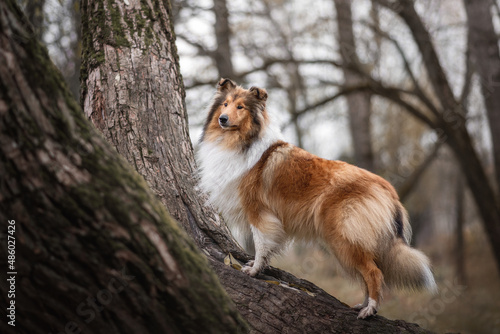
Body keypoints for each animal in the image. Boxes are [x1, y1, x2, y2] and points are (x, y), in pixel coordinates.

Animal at [197, 77, 436, 318]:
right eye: (225, 104)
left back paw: (370, 309)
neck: (240, 141)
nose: (222, 119)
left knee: (373, 272)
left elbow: (261, 244)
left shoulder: (258, 211)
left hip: (344, 238)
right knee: (368, 273)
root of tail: (389, 189)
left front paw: (254, 270)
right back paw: (362, 305)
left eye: (241, 107)